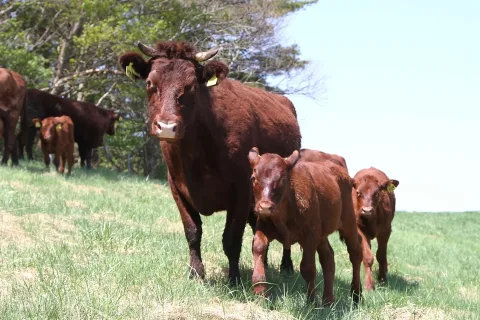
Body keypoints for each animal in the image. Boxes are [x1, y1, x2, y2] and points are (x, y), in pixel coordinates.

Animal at [118, 41, 302, 284]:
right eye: (150, 83)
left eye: (193, 87)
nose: (166, 126)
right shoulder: (177, 188)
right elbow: (192, 232)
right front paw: (195, 273)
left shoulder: (242, 191)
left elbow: (232, 239)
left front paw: (234, 279)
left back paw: (286, 266)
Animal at [249, 148, 362, 304]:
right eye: (253, 178)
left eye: (283, 179)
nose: (265, 206)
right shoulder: (263, 228)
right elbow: (259, 248)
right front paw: (260, 292)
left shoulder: (310, 236)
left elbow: (308, 268)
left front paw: (311, 300)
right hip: (322, 234)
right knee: (328, 258)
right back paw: (328, 300)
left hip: (348, 223)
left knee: (355, 253)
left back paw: (356, 294)